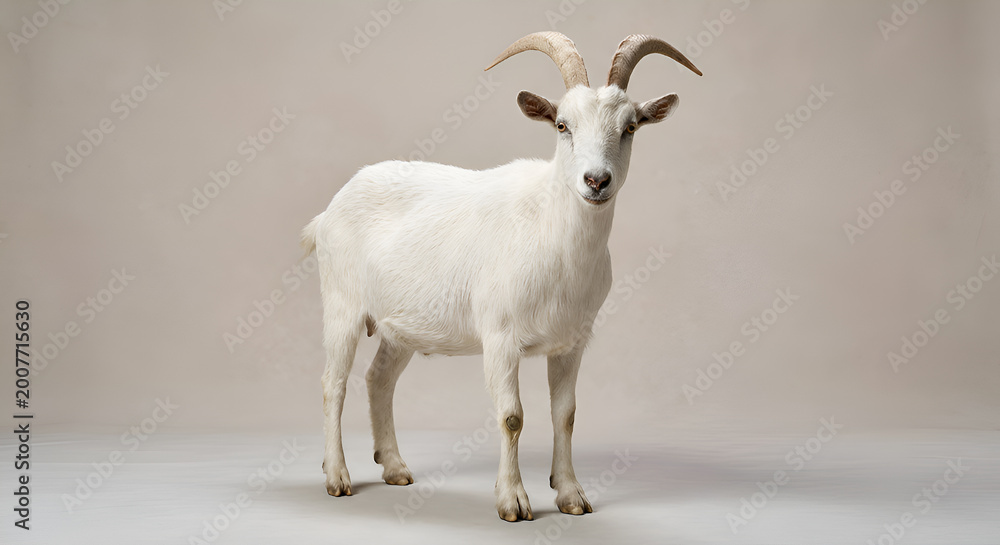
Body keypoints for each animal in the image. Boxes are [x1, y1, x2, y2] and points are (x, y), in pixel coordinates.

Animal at [301, 32, 701, 522]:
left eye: (630, 127)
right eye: (562, 125)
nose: (596, 181)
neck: (553, 238)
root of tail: (329, 211)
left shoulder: (572, 342)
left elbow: (566, 415)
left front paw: (571, 495)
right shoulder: (499, 337)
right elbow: (512, 416)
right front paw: (513, 501)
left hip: (400, 326)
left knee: (379, 379)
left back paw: (394, 467)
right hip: (342, 303)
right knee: (332, 385)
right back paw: (337, 477)